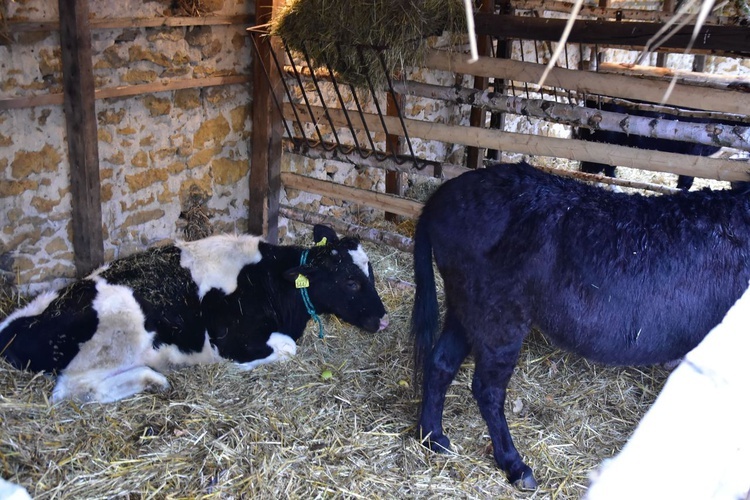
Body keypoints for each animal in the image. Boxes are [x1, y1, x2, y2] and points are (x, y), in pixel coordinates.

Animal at [0, 225, 388, 404]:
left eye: (370, 273)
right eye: (351, 281)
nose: (384, 318)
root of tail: (18, 327)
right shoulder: (230, 339)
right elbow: (286, 348)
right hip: (117, 336)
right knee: (73, 390)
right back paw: (151, 377)